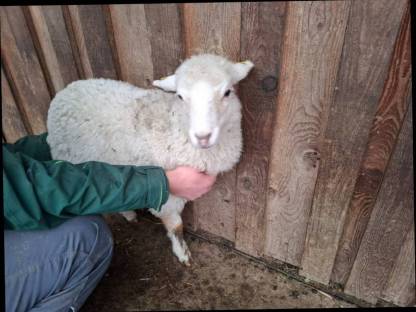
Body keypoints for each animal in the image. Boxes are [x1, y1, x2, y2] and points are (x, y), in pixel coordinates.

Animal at [45, 53, 254, 266]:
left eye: (227, 92)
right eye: (180, 96)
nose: (202, 137)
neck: (174, 128)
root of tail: (65, 91)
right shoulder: (166, 198)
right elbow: (176, 226)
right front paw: (182, 253)